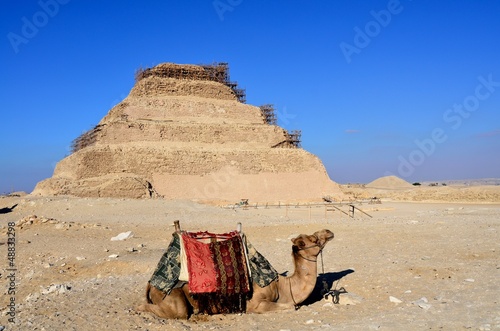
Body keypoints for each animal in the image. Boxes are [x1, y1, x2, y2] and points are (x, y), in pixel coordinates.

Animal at [135, 230, 334, 320]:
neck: (283, 286)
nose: (328, 232)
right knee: (177, 312)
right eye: (314, 239)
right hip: (170, 296)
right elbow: (292, 306)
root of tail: (151, 282)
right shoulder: (255, 303)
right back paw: (139, 308)